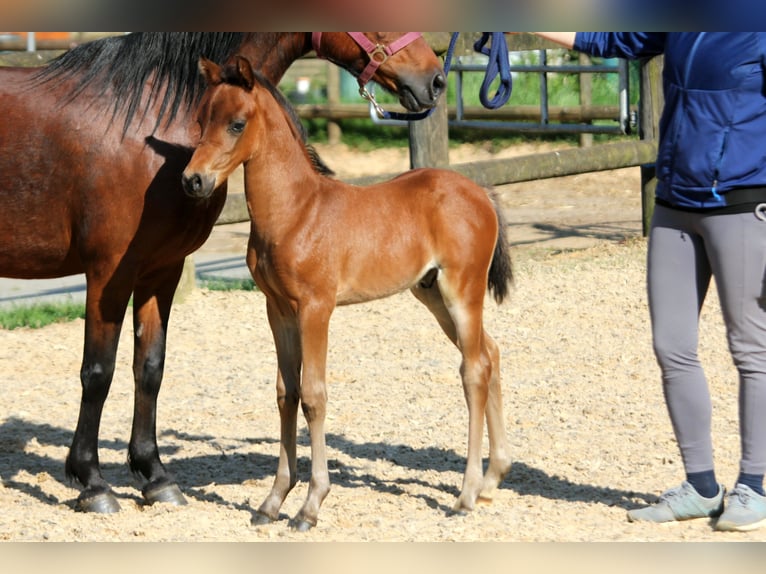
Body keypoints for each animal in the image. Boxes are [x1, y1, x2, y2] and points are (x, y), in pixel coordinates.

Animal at [0, 33, 448, 516]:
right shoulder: (107, 273)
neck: (144, 121)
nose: (435, 79)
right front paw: (92, 482)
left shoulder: (162, 268)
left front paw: (155, 477)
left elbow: (149, 367)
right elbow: (98, 371)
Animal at [182, 56, 512, 532]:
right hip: (431, 295)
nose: (193, 181)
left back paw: (466, 494)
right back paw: (491, 480)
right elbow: (286, 393)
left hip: (461, 292)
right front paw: (272, 501)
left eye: (236, 124)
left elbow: (314, 396)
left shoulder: (316, 308)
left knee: (473, 371)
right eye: (200, 120)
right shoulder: (277, 310)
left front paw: (310, 505)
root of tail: (480, 192)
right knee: (491, 354)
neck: (295, 211)